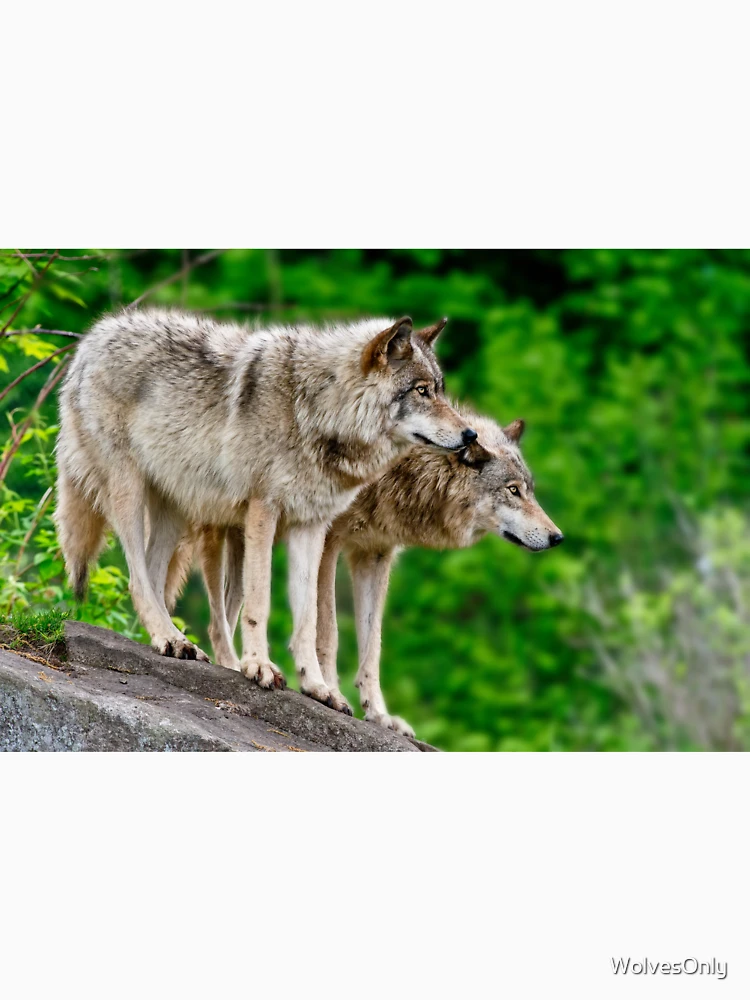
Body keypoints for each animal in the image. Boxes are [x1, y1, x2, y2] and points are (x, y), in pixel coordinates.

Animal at [55, 309, 475, 709]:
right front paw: (258, 666)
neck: (314, 409)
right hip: (129, 490)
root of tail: (92, 338)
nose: (470, 435)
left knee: (155, 578)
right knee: (137, 578)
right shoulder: (263, 511)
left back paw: (175, 641)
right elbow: (260, 600)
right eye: (422, 391)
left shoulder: (311, 526)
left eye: (440, 390)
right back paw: (169, 639)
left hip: (174, 509)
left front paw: (318, 687)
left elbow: (307, 617)